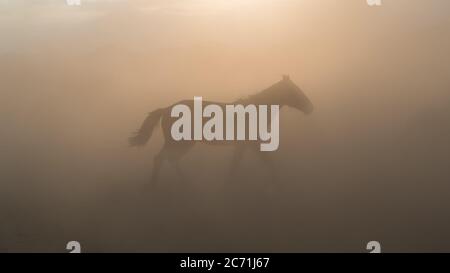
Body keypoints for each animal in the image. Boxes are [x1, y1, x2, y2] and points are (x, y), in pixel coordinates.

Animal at [129, 75, 312, 184]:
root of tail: (166, 108)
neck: (256, 109)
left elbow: (237, 163)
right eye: (295, 91)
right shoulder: (252, 143)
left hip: (182, 143)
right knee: (161, 158)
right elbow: (266, 162)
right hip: (178, 142)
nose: (310, 108)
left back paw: (184, 182)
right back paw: (157, 185)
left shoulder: (244, 145)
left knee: (170, 160)